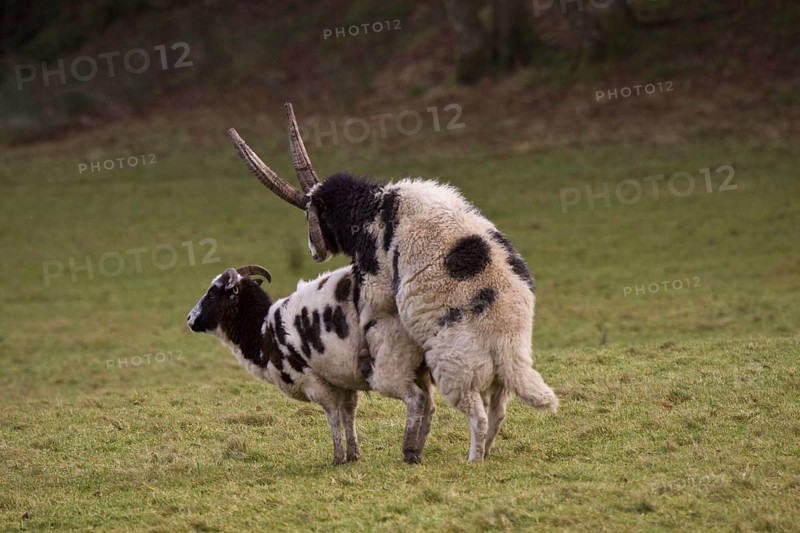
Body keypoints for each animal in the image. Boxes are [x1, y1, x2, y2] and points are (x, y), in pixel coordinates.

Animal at [187, 264, 434, 465]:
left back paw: (409, 451)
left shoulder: (313, 381)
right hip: (418, 367)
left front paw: (338, 458)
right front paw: (353, 454)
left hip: (391, 364)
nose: (189, 319)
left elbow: (333, 417)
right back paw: (419, 449)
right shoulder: (343, 381)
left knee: (415, 398)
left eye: (212, 292)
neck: (263, 332)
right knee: (428, 404)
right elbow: (348, 415)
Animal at [227, 104, 559, 463]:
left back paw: (471, 460)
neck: (373, 208)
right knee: (498, 411)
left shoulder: (376, 285)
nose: (314, 252)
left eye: (310, 215)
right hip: (497, 375)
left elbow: (367, 310)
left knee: (478, 415)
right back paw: (484, 454)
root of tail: (507, 338)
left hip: (456, 367)